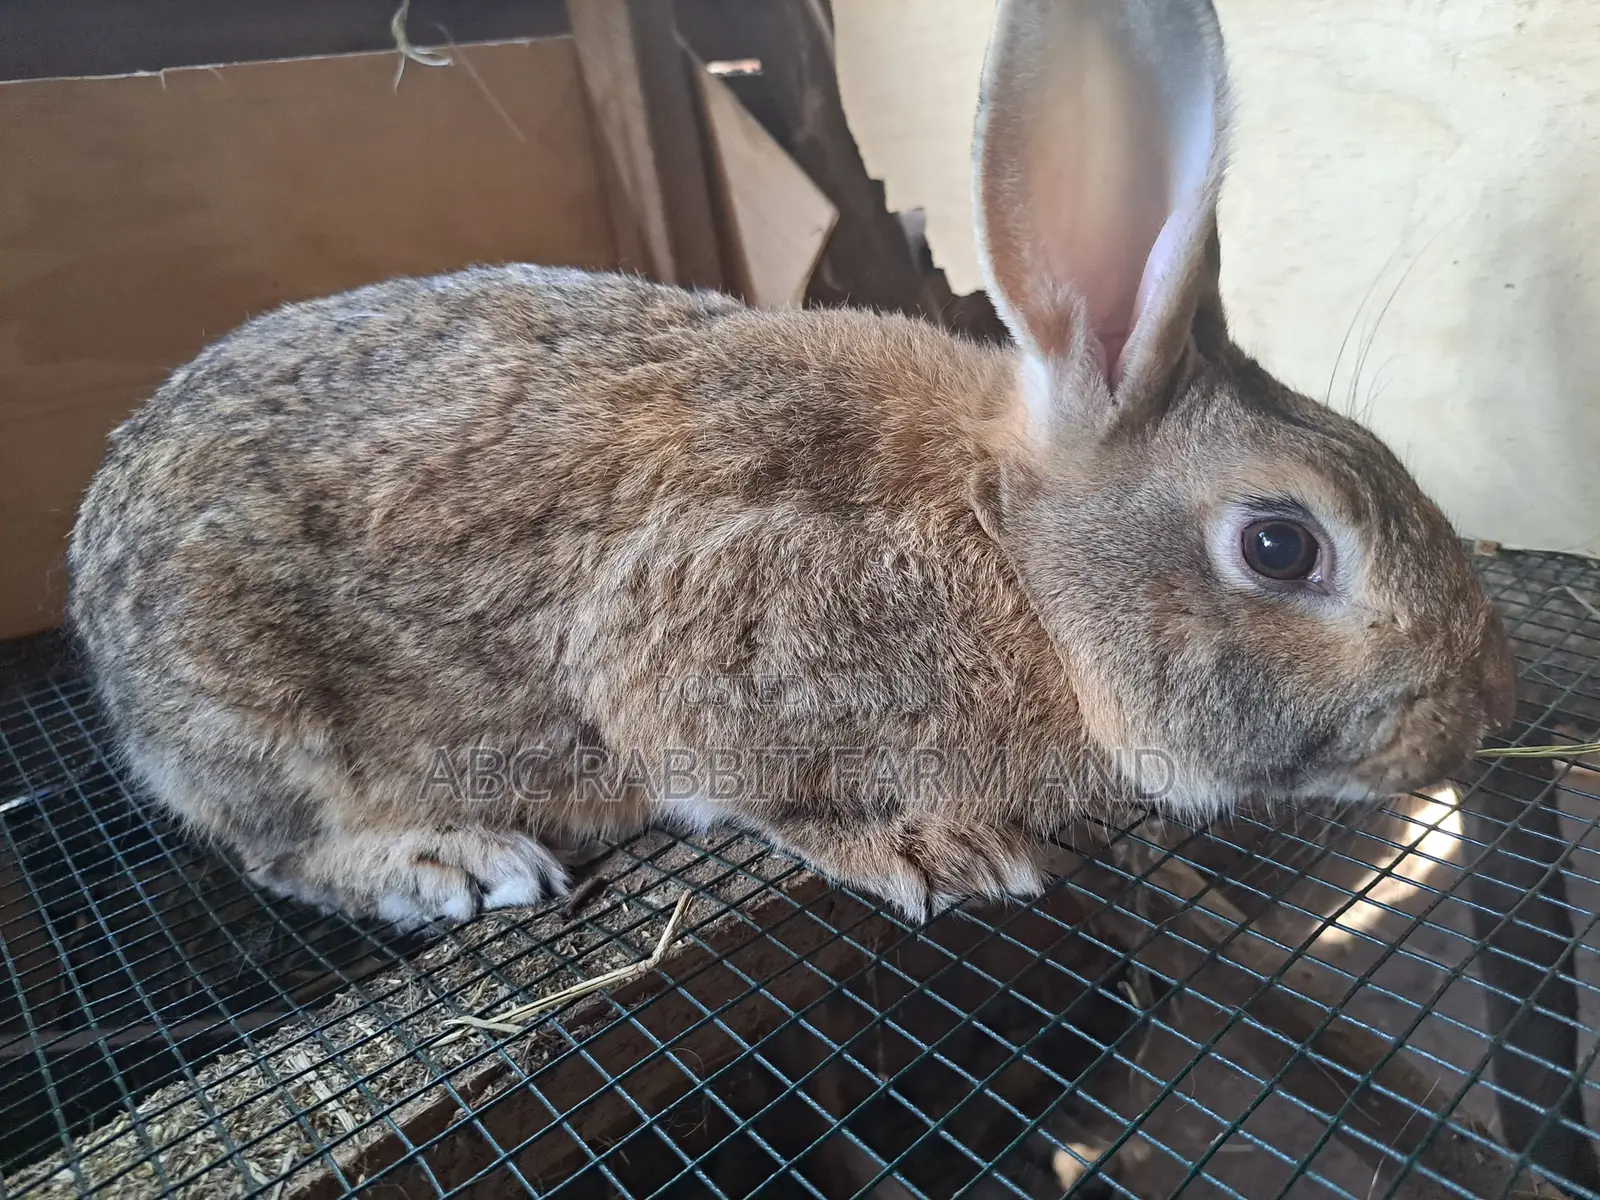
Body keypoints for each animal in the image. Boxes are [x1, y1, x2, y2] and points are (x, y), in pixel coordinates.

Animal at [67, 0, 1516, 931]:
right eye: (1280, 545)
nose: (1476, 712)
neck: (1015, 571)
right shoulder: (688, 657)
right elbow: (760, 795)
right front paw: (934, 846)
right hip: (264, 716)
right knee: (283, 850)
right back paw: (447, 866)